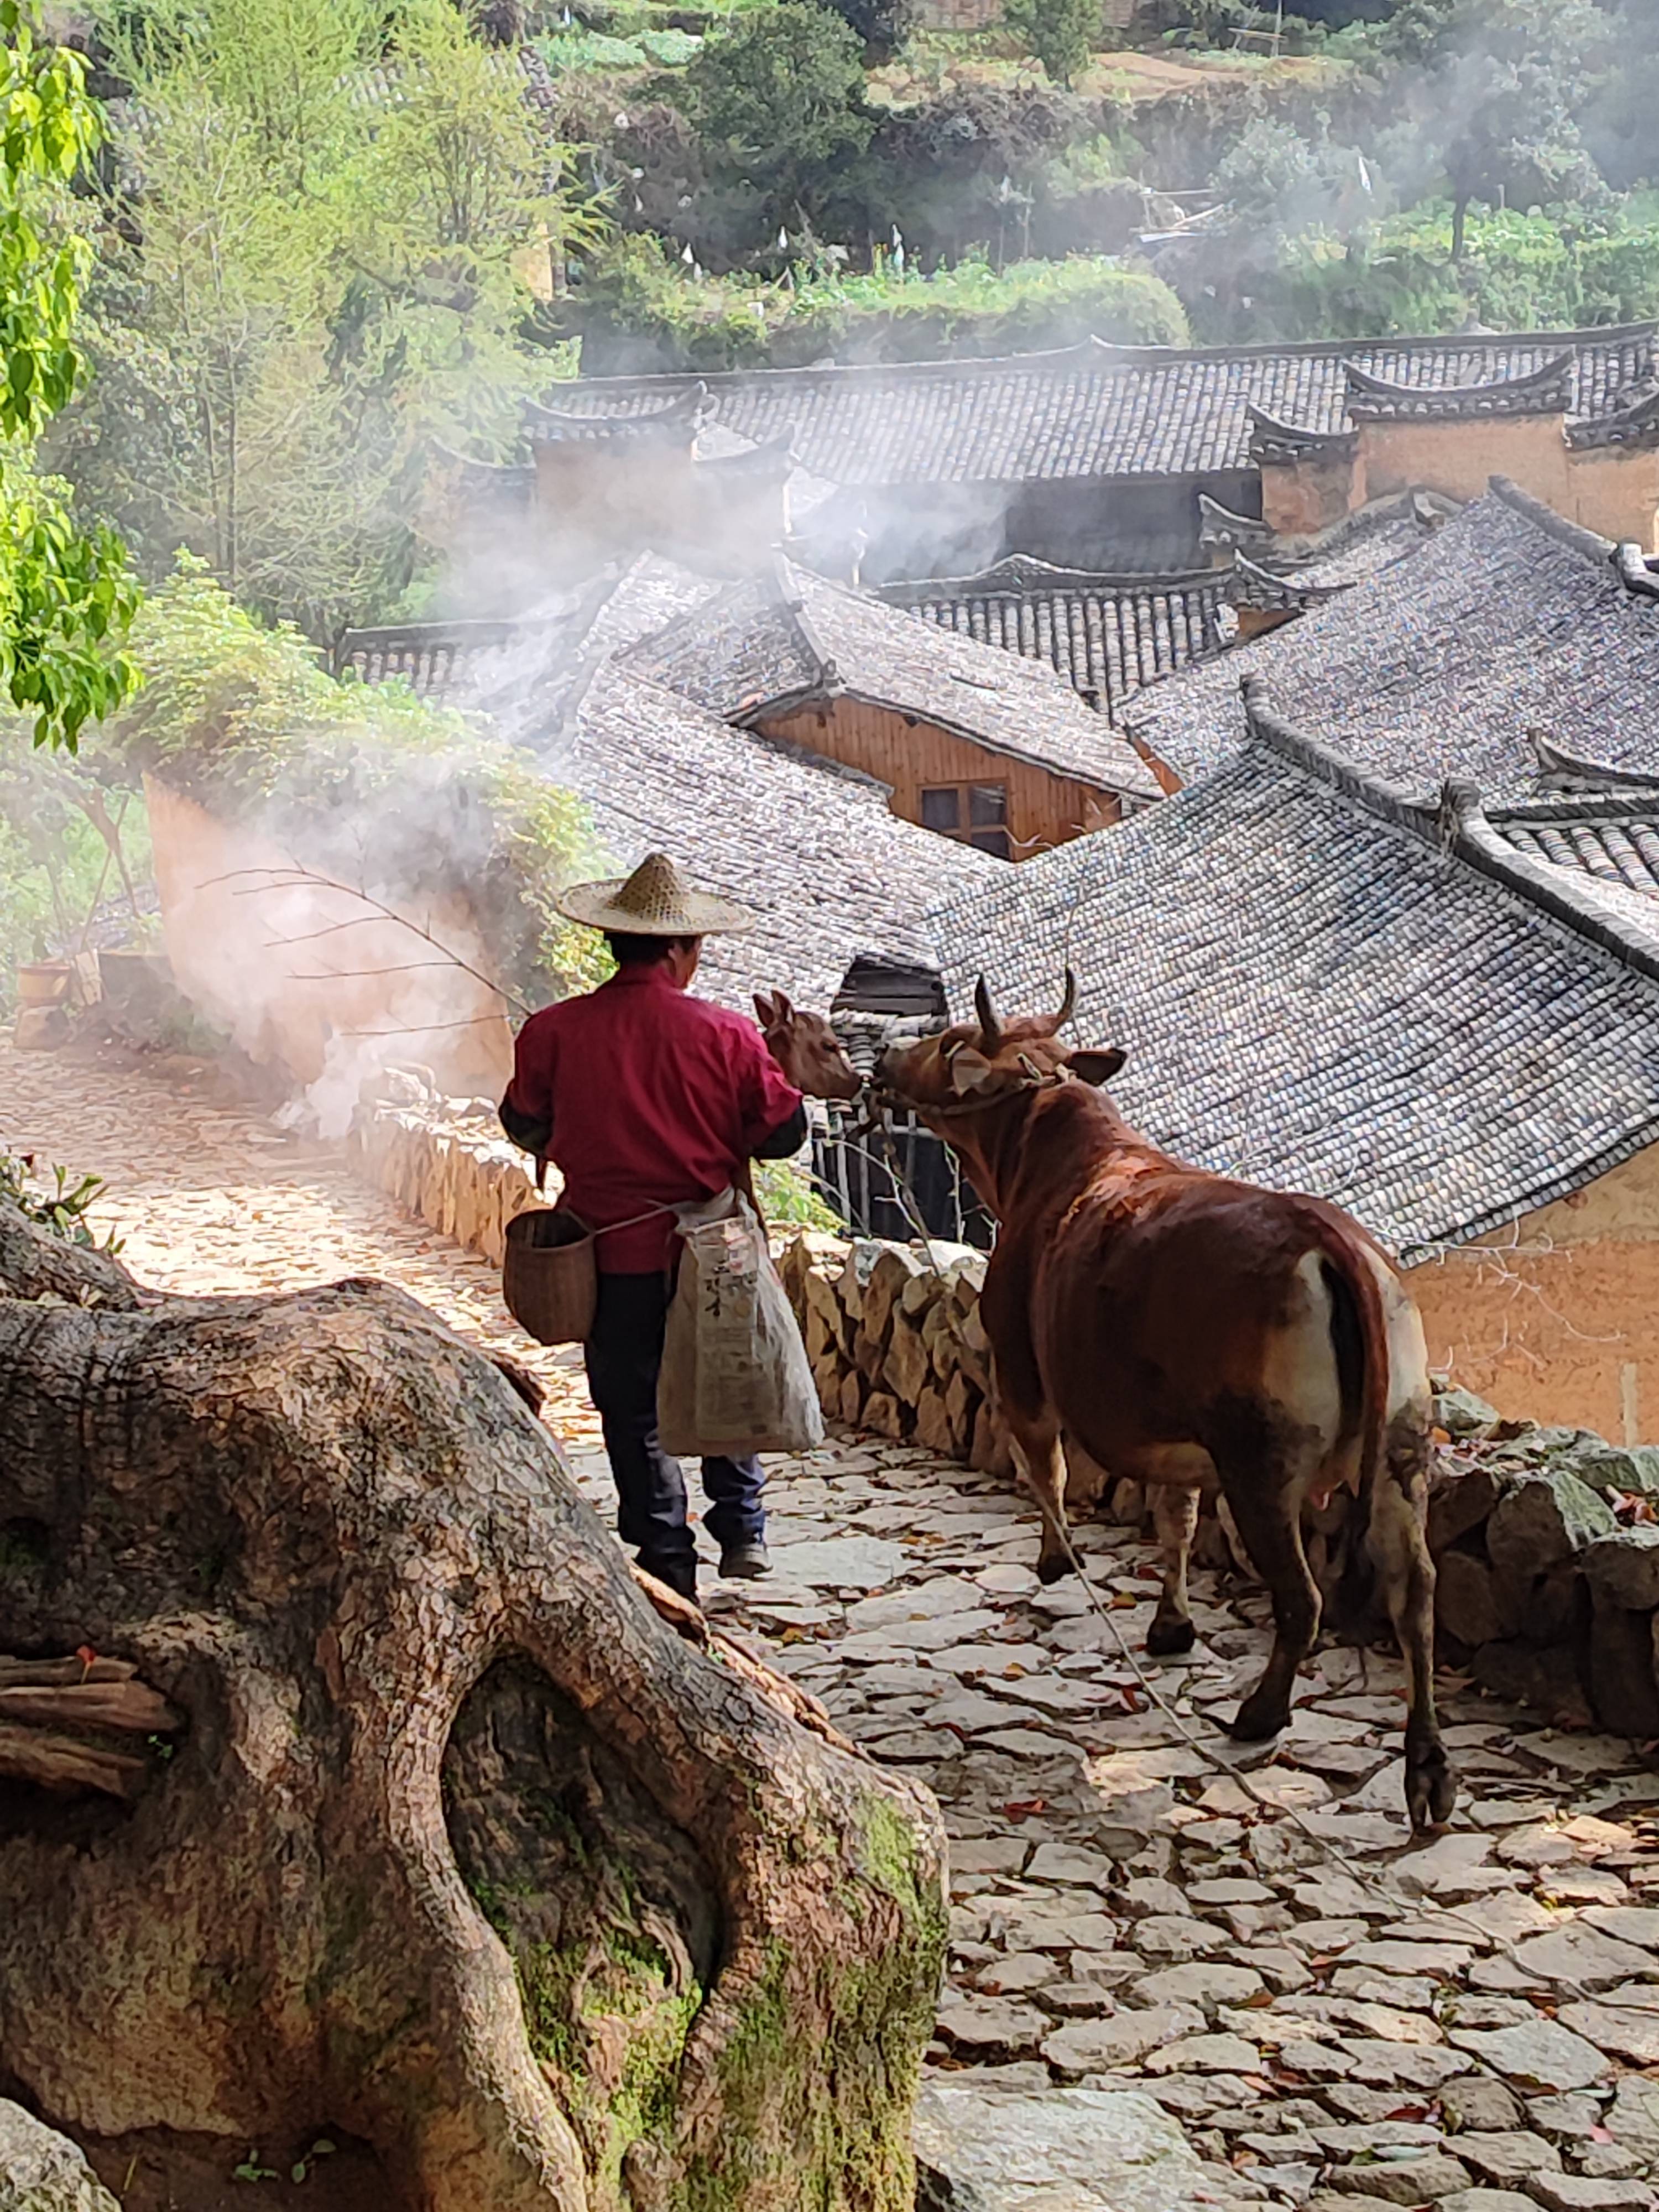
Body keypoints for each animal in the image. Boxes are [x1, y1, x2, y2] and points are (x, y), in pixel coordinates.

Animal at [876, 973, 1460, 1832]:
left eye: (949, 1042)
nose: (886, 1056)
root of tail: (1328, 1236)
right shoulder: (1175, 1436)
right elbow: (1177, 1517)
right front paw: (1172, 1623)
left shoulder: (1020, 1365)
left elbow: (1046, 1469)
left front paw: (1057, 1558)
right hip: (1403, 1444)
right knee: (1413, 1592)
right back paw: (1428, 1773)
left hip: (1260, 1460)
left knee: (1302, 1598)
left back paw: (1262, 1714)